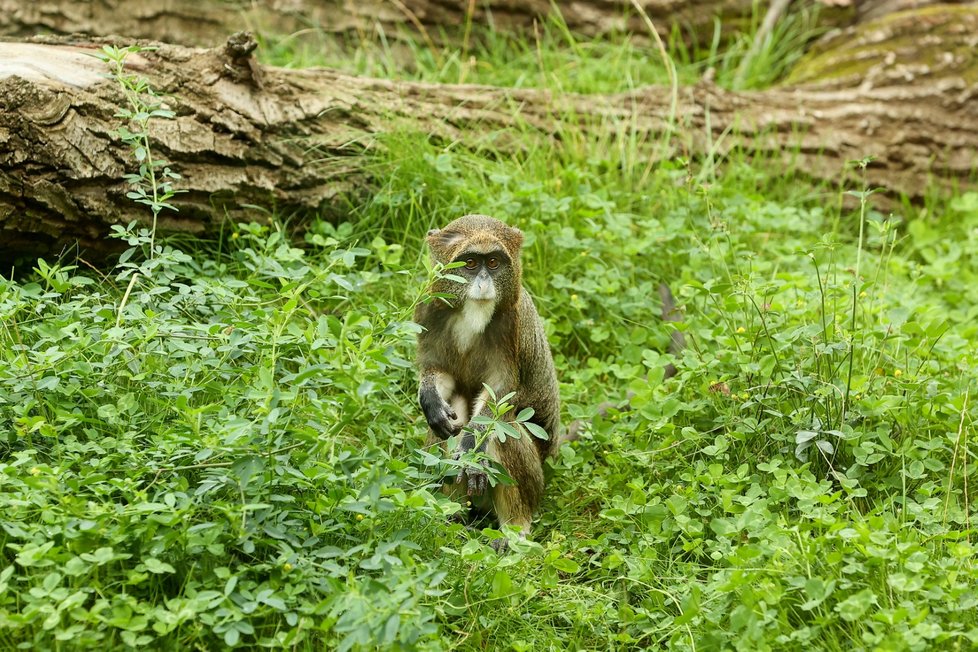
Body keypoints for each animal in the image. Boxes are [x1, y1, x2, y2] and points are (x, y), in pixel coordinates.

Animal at [412, 214, 564, 552]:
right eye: (470, 264)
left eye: (493, 263)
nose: (483, 283)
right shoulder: (429, 308)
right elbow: (438, 372)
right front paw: (430, 399)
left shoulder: (513, 323)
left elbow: (501, 393)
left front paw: (472, 446)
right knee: (450, 428)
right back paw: (451, 517)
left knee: (505, 429)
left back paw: (514, 530)